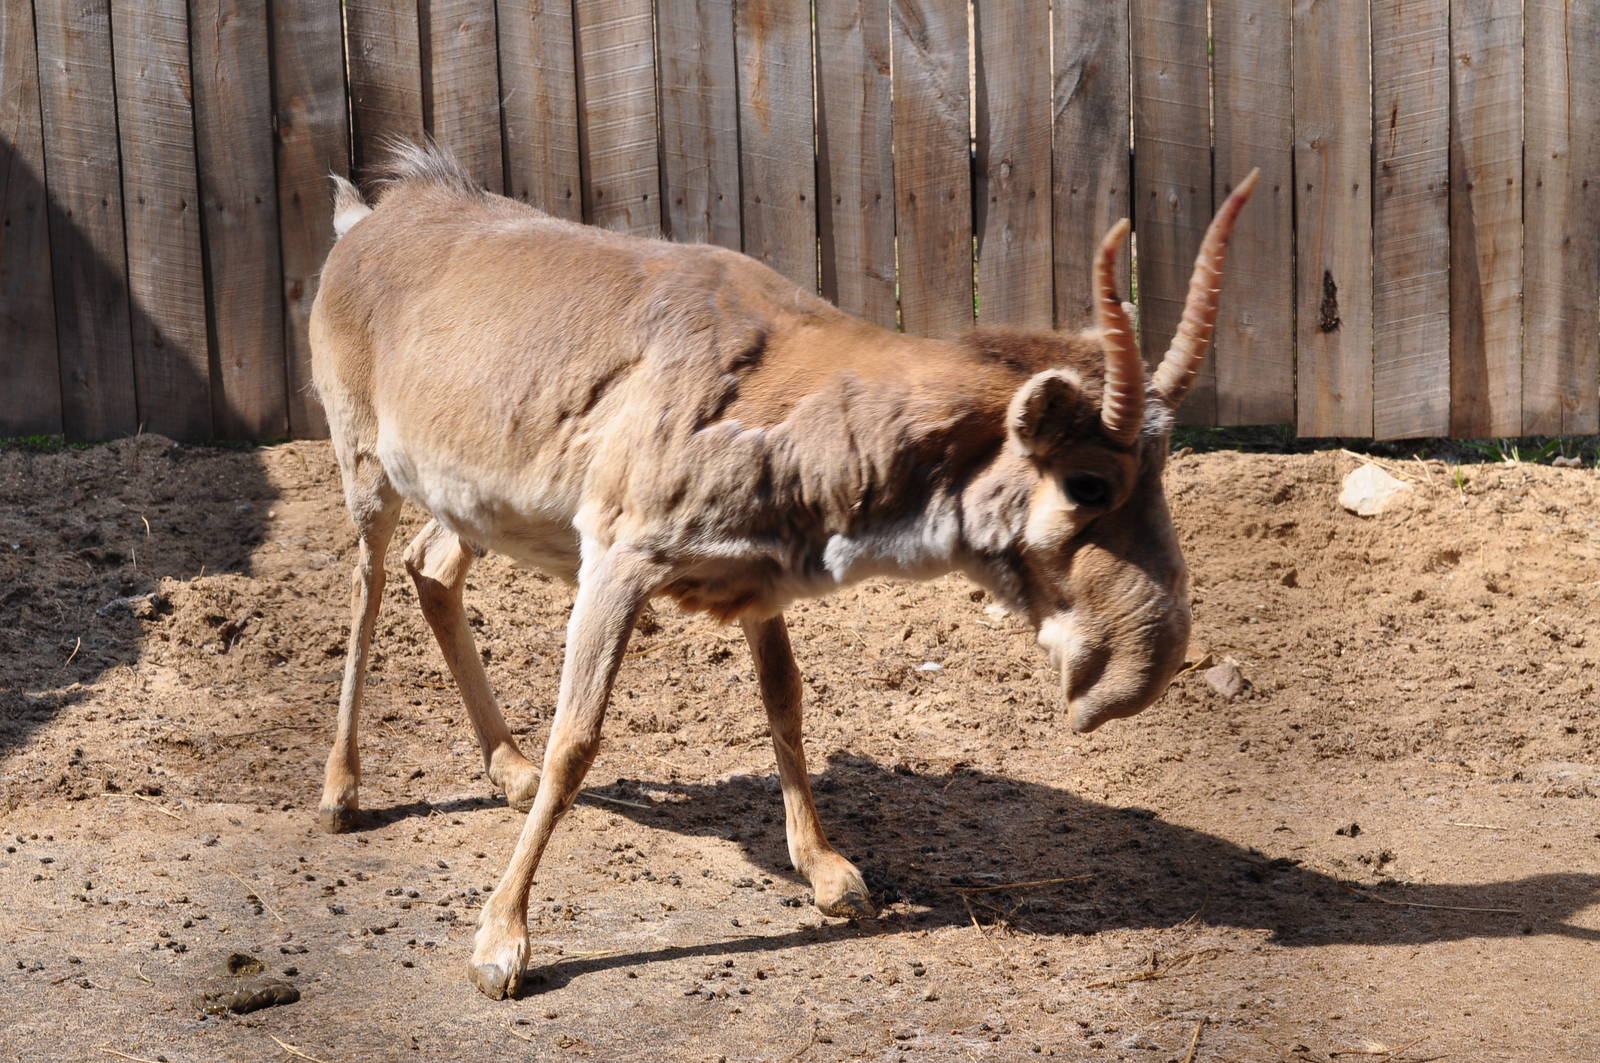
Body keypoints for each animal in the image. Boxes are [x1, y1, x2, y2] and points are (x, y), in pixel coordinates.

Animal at [310, 143, 1257, 999]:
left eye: (1162, 468)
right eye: (1089, 481)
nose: (1143, 664)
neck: (777, 398)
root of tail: (368, 218)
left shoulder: (755, 582)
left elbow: (786, 697)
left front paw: (829, 869)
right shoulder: (616, 560)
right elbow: (576, 741)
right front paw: (502, 939)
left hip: (469, 500)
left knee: (433, 568)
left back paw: (506, 767)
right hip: (365, 464)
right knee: (366, 584)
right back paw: (342, 790)